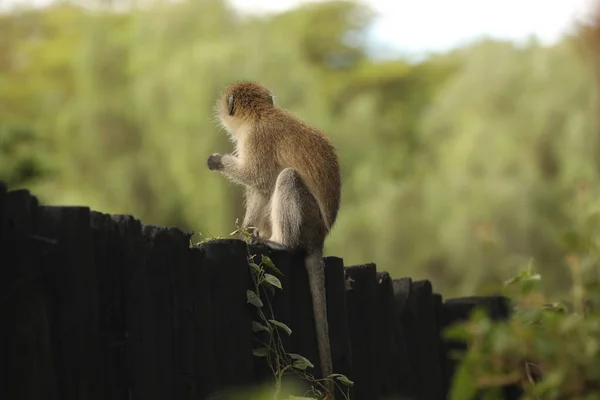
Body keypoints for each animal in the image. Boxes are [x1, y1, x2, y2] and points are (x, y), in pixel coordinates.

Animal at [206, 81, 340, 396]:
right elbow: (259, 187)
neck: (260, 115)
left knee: (287, 178)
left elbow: (259, 178)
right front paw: (245, 230)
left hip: (309, 222)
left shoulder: (255, 140)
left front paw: (218, 160)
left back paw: (280, 242)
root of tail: (321, 237)